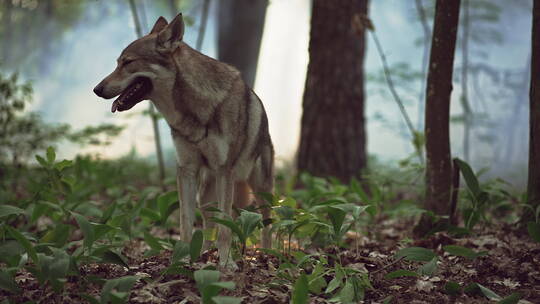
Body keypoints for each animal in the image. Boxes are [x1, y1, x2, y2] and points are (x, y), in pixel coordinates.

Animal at [92, 13, 274, 266]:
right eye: (117, 63)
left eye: (127, 62)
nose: (96, 89)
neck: (194, 110)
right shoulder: (186, 170)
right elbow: (186, 223)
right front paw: (181, 259)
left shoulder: (224, 170)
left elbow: (226, 229)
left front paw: (226, 264)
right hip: (206, 196)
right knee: (209, 223)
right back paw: (205, 253)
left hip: (259, 187)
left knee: (265, 221)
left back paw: (266, 254)